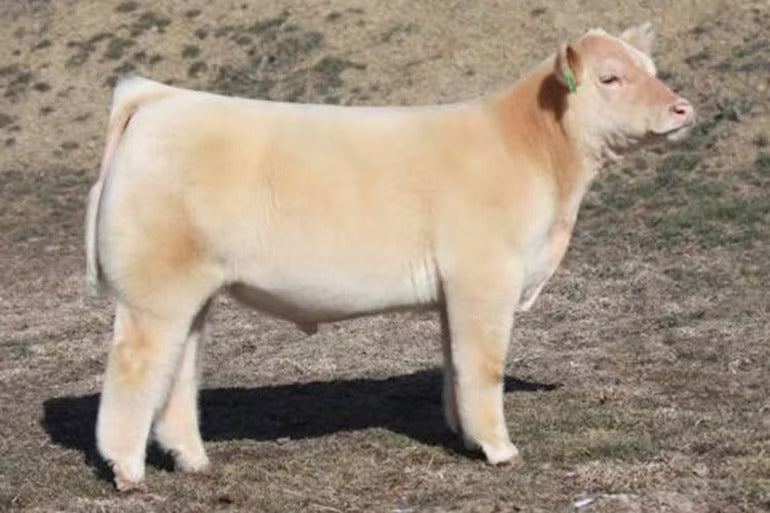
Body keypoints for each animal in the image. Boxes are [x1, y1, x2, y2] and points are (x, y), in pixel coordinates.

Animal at [85, 23, 694, 490]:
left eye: (650, 66)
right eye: (610, 77)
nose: (682, 108)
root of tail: (160, 98)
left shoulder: (457, 291)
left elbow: (455, 364)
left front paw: (463, 434)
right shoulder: (486, 278)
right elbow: (484, 366)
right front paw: (499, 448)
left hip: (193, 294)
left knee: (177, 371)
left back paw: (191, 459)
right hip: (154, 294)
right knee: (136, 368)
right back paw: (127, 472)